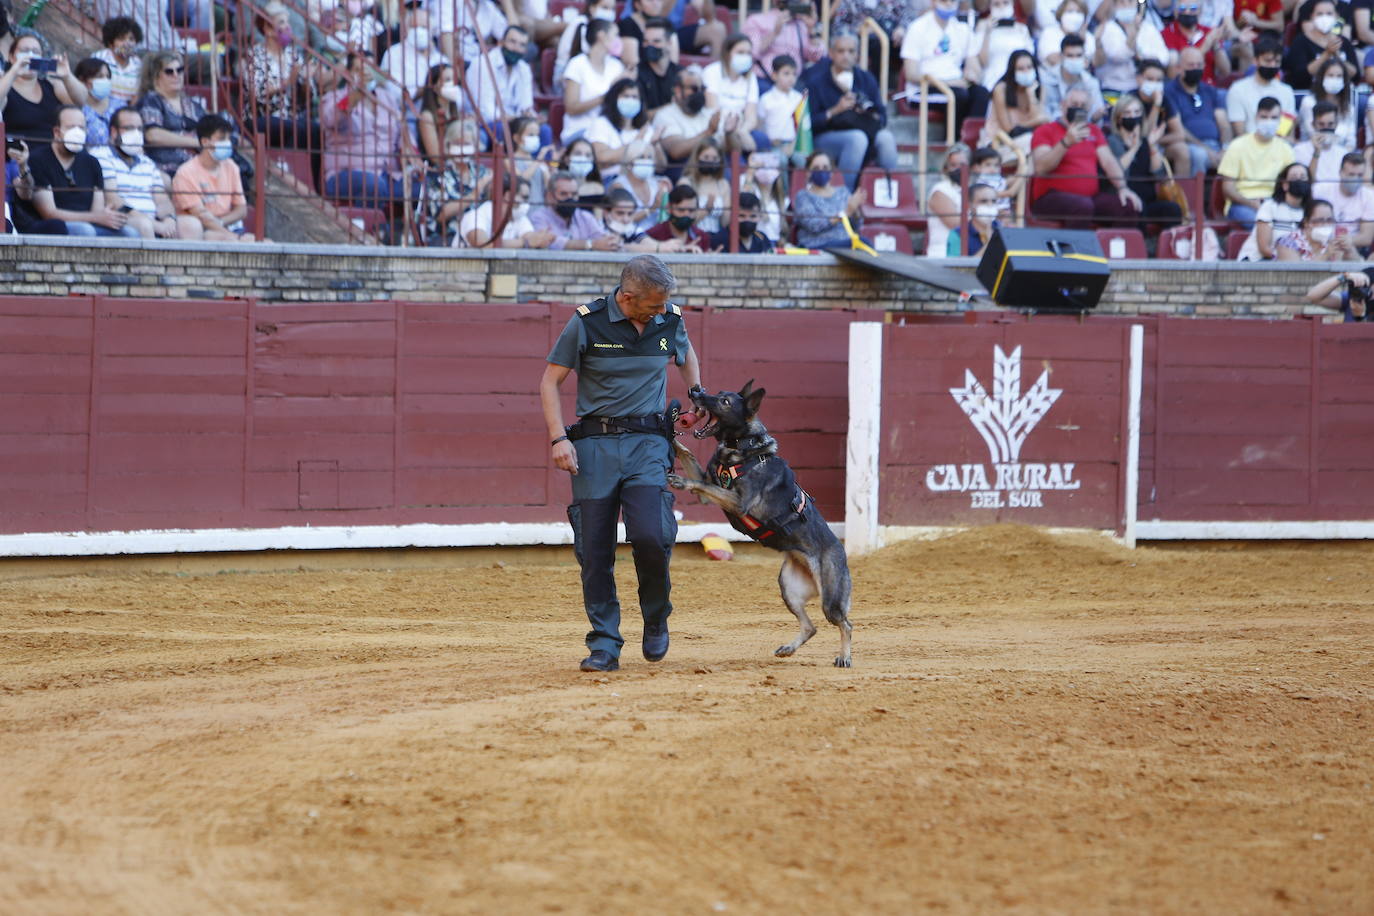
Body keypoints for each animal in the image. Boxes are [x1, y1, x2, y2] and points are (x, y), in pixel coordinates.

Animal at [670, 379, 851, 667]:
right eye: (718, 393)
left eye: (724, 401)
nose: (695, 391)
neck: (741, 447)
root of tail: (842, 551)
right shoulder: (708, 489)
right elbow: (688, 454)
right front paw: (671, 436)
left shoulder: (737, 501)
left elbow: (700, 483)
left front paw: (680, 480)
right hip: (789, 588)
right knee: (810, 627)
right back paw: (788, 649)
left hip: (830, 599)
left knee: (845, 624)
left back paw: (844, 656)